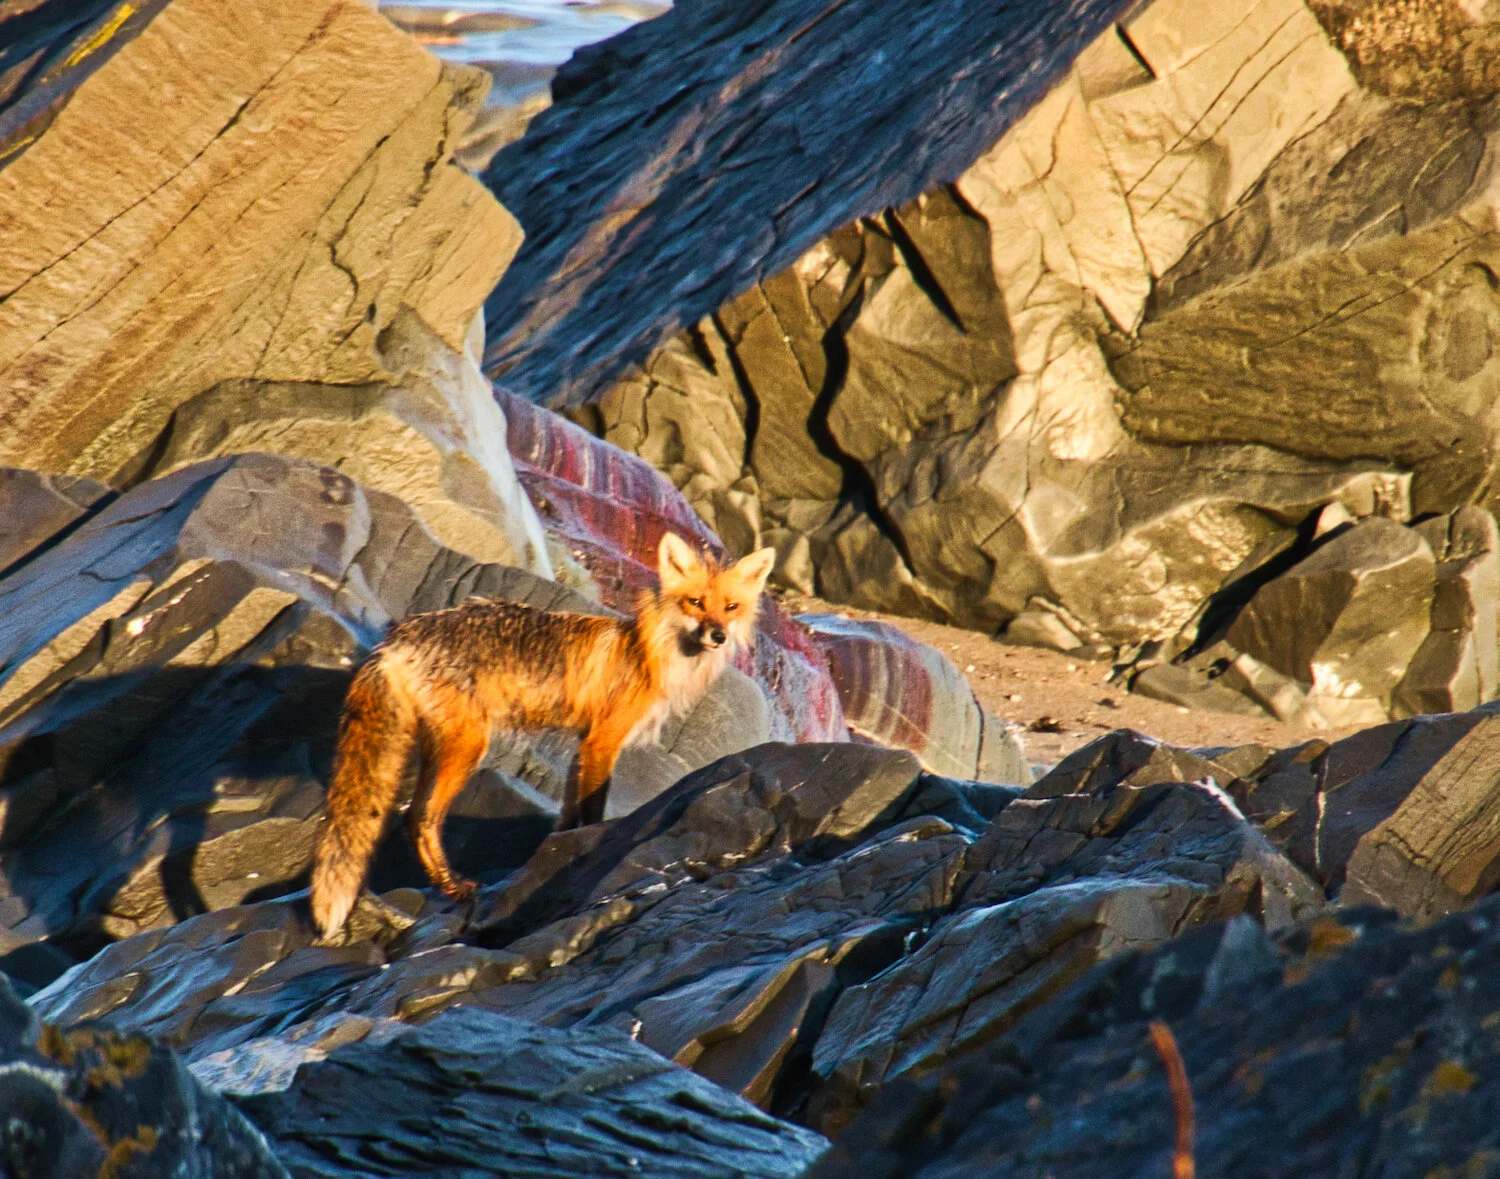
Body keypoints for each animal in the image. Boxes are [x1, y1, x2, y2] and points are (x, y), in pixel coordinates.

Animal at [309, 532, 776, 938]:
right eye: (695, 602)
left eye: (731, 606)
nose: (718, 635)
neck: (649, 653)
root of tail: (397, 637)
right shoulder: (603, 742)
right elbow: (592, 812)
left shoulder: (581, 745)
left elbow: (567, 817)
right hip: (468, 747)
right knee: (422, 818)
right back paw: (456, 887)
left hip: (439, 746)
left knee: (410, 818)